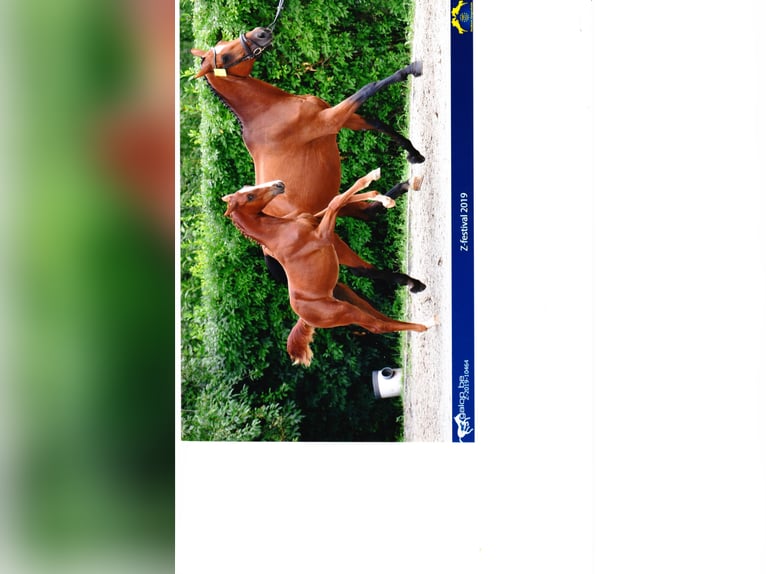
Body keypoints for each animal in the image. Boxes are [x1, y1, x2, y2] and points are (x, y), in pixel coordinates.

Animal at [190, 26, 427, 291]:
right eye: (225, 57)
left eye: (224, 43)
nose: (261, 33)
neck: (268, 113)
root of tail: (266, 248)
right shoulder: (330, 120)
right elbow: (369, 87)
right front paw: (413, 68)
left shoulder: (341, 120)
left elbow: (377, 124)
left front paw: (414, 154)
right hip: (331, 236)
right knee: (364, 268)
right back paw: (414, 284)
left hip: (335, 207)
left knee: (368, 212)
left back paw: (407, 184)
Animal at [221, 169, 432, 366]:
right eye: (250, 197)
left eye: (248, 188)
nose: (279, 184)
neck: (278, 232)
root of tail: (304, 317)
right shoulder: (323, 234)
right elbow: (336, 202)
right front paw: (374, 179)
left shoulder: (316, 219)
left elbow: (336, 201)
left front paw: (384, 196)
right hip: (345, 312)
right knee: (378, 326)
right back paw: (427, 324)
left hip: (350, 299)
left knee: (379, 318)